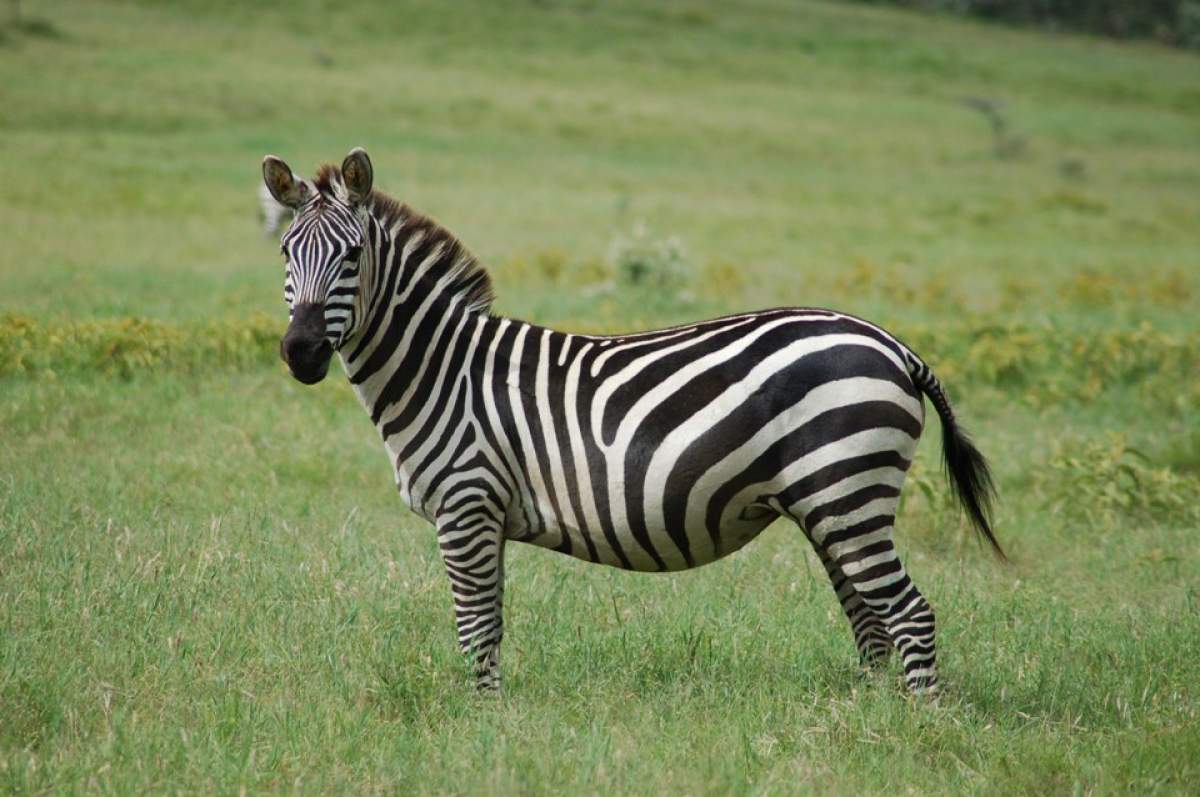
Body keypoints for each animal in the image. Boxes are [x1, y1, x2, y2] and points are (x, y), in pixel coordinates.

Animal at [262, 146, 1003, 696]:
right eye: (286, 255)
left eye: (352, 257)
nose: (301, 353)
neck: (443, 368)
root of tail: (894, 345)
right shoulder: (488, 514)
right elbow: (491, 625)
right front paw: (494, 715)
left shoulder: (466, 505)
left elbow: (475, 629)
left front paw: (482, 724)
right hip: (831, 500)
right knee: (869, 616)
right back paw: (866, 713)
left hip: (847, 489)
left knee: (909, 613)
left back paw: (916, 725)